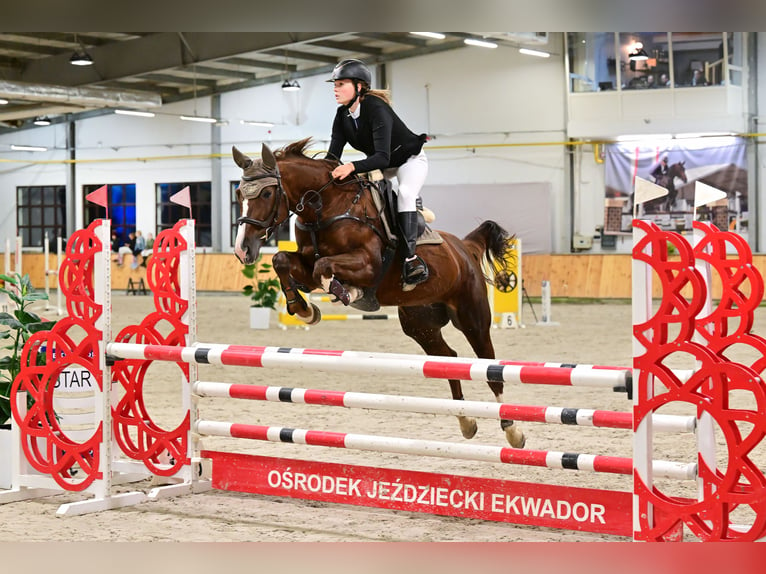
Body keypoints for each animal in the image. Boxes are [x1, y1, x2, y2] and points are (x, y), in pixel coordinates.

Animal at [234, 138, 528, 450]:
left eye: (267, 192)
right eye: (239, 193)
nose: (242, 250)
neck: (324, 207)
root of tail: (464, 247)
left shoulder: (368, 264)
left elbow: (324, 268)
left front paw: (347, 292)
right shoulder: (305, 261)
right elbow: (283, 260)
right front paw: (304, 309)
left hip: (472, 318)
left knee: (490, 367)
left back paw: (513, 430)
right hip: (420, 325)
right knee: (448, 359)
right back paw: (466, 421)